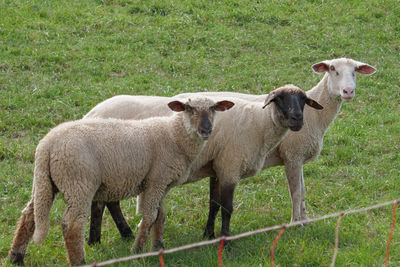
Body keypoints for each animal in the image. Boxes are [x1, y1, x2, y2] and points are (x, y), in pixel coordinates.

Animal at [8, 97, 234, 266]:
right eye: (188, 109)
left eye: (213, 109)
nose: (206, 129)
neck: (173, 135)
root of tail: (47, 144)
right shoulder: (157, 180)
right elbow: (150, 216)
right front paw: (138, 250)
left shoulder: (160, 182)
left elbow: (159, 215)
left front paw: (158, 246)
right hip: (78, 183)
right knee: (72, 224)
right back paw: (79, 261)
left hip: (44, 182)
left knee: (29, 215)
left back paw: (15, 257)